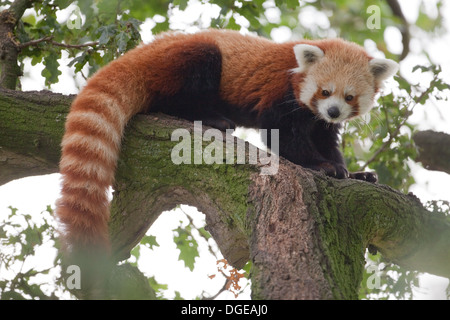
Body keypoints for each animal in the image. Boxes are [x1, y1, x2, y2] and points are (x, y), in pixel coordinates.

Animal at [55, 28, 398, 260]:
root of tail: (139, 52)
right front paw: (322, 166)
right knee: (194, 73)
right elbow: (285, 139)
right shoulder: (280, 93)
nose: (333, 111)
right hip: (184, 61)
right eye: (325, 92)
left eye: (349, 97)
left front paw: (353, 173)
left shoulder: (318, 120)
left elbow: (327, 139)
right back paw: (211, 118)